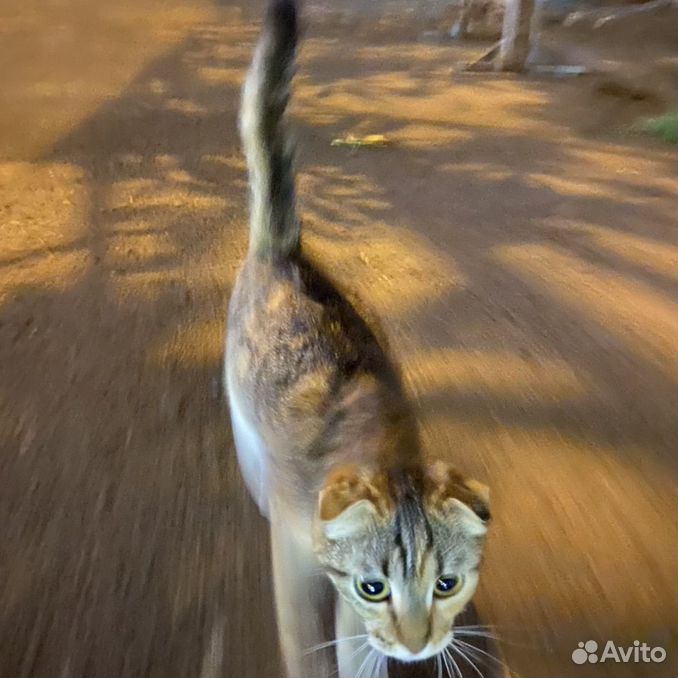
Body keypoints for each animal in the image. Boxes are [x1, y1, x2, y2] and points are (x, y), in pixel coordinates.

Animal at [227, 2, 494, 676]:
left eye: (448, 584)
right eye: (376, 586)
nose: (420, 643)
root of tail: (285, 251)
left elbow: (357, 647)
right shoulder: (297, 567)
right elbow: (310, 643)